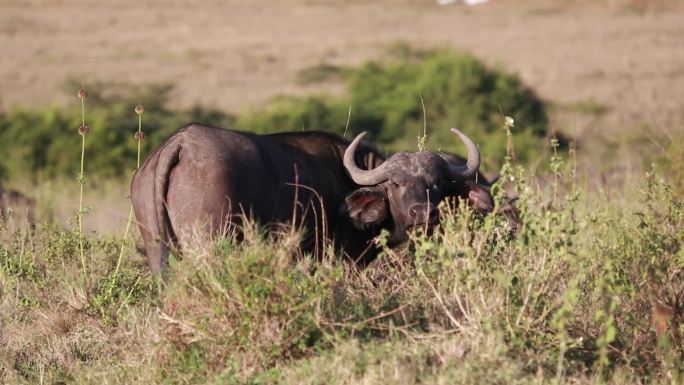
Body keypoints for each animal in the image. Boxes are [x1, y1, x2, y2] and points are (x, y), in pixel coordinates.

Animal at [131, 124, 492, 272]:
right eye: (396, 183)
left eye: (437, 183)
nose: (423, 213)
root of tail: (183, 143)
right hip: (209, 244)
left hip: (156, 250)